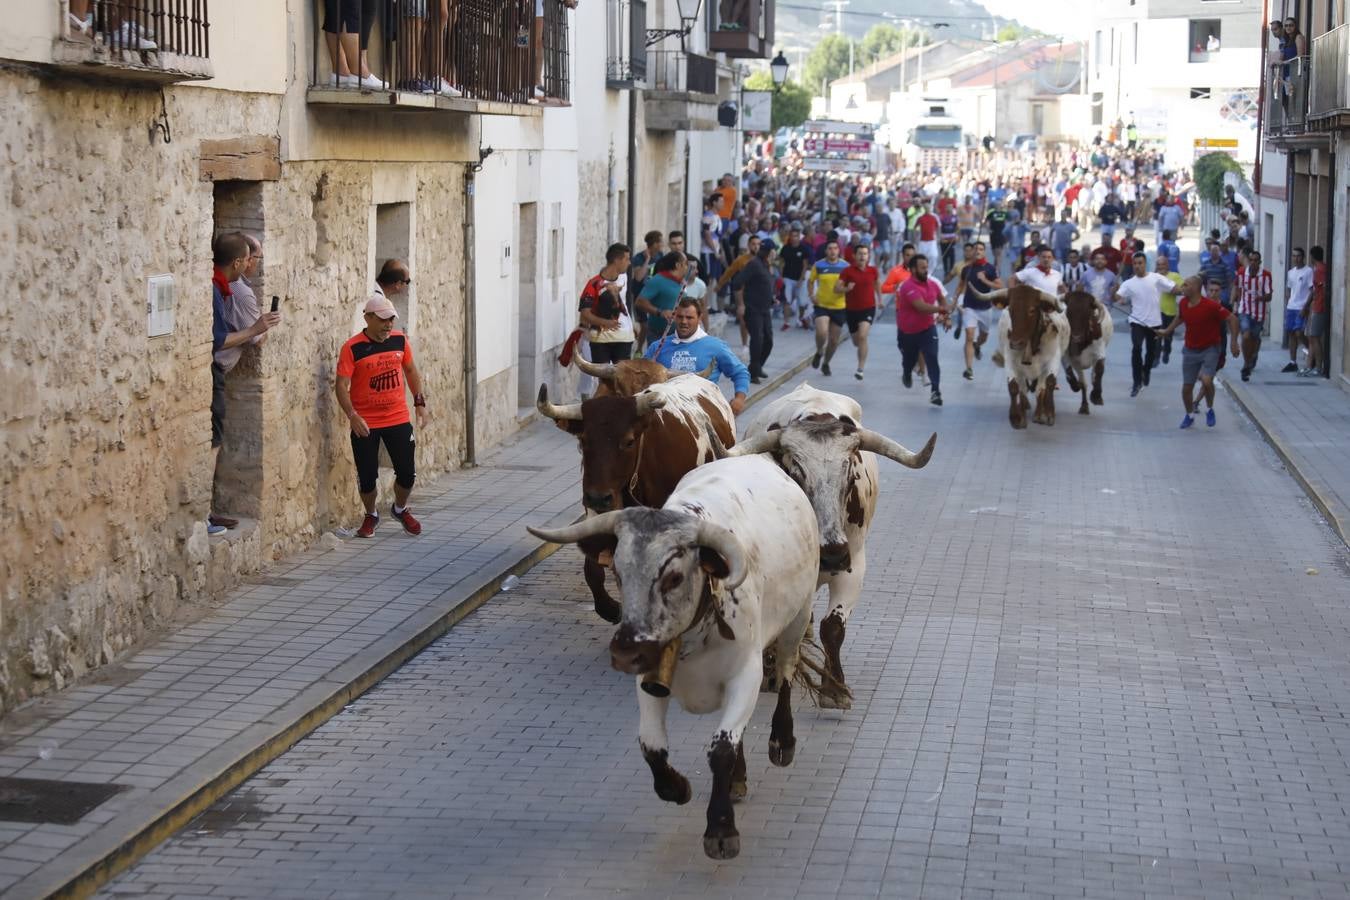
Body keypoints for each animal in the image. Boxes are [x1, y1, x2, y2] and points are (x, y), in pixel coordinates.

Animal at [526, 458, 820, 858]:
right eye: (618, 572)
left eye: (674, 577)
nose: (625, 652)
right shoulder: (649, 677)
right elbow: (652, 745)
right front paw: (677, 788)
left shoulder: (746, 673)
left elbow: (721, 749)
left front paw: (721, 828)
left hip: (797, 618)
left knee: (787, 674)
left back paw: (782, 742)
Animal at [729, 388, 939, 712]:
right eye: (796, 473)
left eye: (851, 476)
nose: (832, 554)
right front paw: (772, 672)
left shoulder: (853, 568)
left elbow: (833, 627)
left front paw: (834, 687)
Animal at [988, 287, 1069, 431]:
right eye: (1010, 309)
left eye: (1032, 310)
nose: (1016, 343)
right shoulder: (1011, 361)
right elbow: (1014, 387)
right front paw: (1016, 417)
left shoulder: (1053, 360)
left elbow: (1047, 385)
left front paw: (1047, 414)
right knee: (1023, 388)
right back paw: (1024, 406)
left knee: (1039, 388)